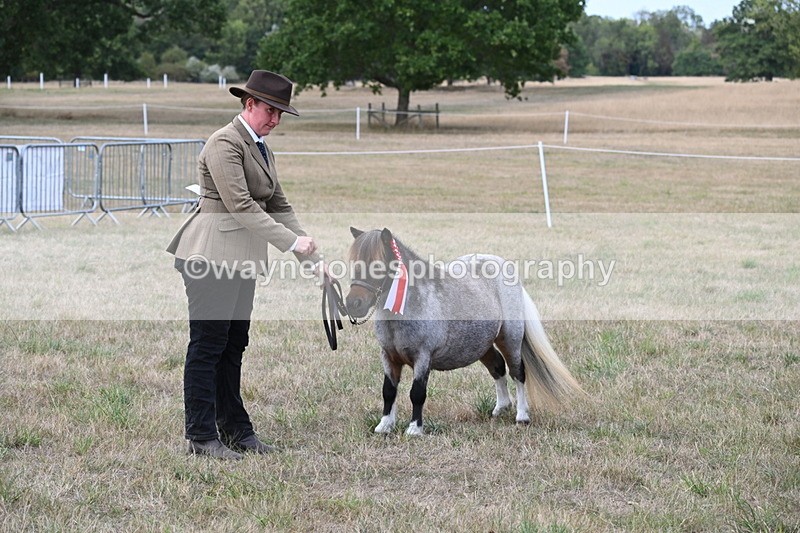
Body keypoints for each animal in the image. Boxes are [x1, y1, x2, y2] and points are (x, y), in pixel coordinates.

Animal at [345, 227, 585, 436]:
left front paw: (414, 429)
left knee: (518, 372)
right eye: (353, 263)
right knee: (498, 367)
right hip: (482, 345)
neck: (408, 304)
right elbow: (389, 391)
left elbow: (417, 393)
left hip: (510, 340)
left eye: (377, 265)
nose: (353, 304)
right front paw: (385, 426)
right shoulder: (389, 357)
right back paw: (501, 408)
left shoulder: (423, 357)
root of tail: (504, 266)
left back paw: (522, 416)